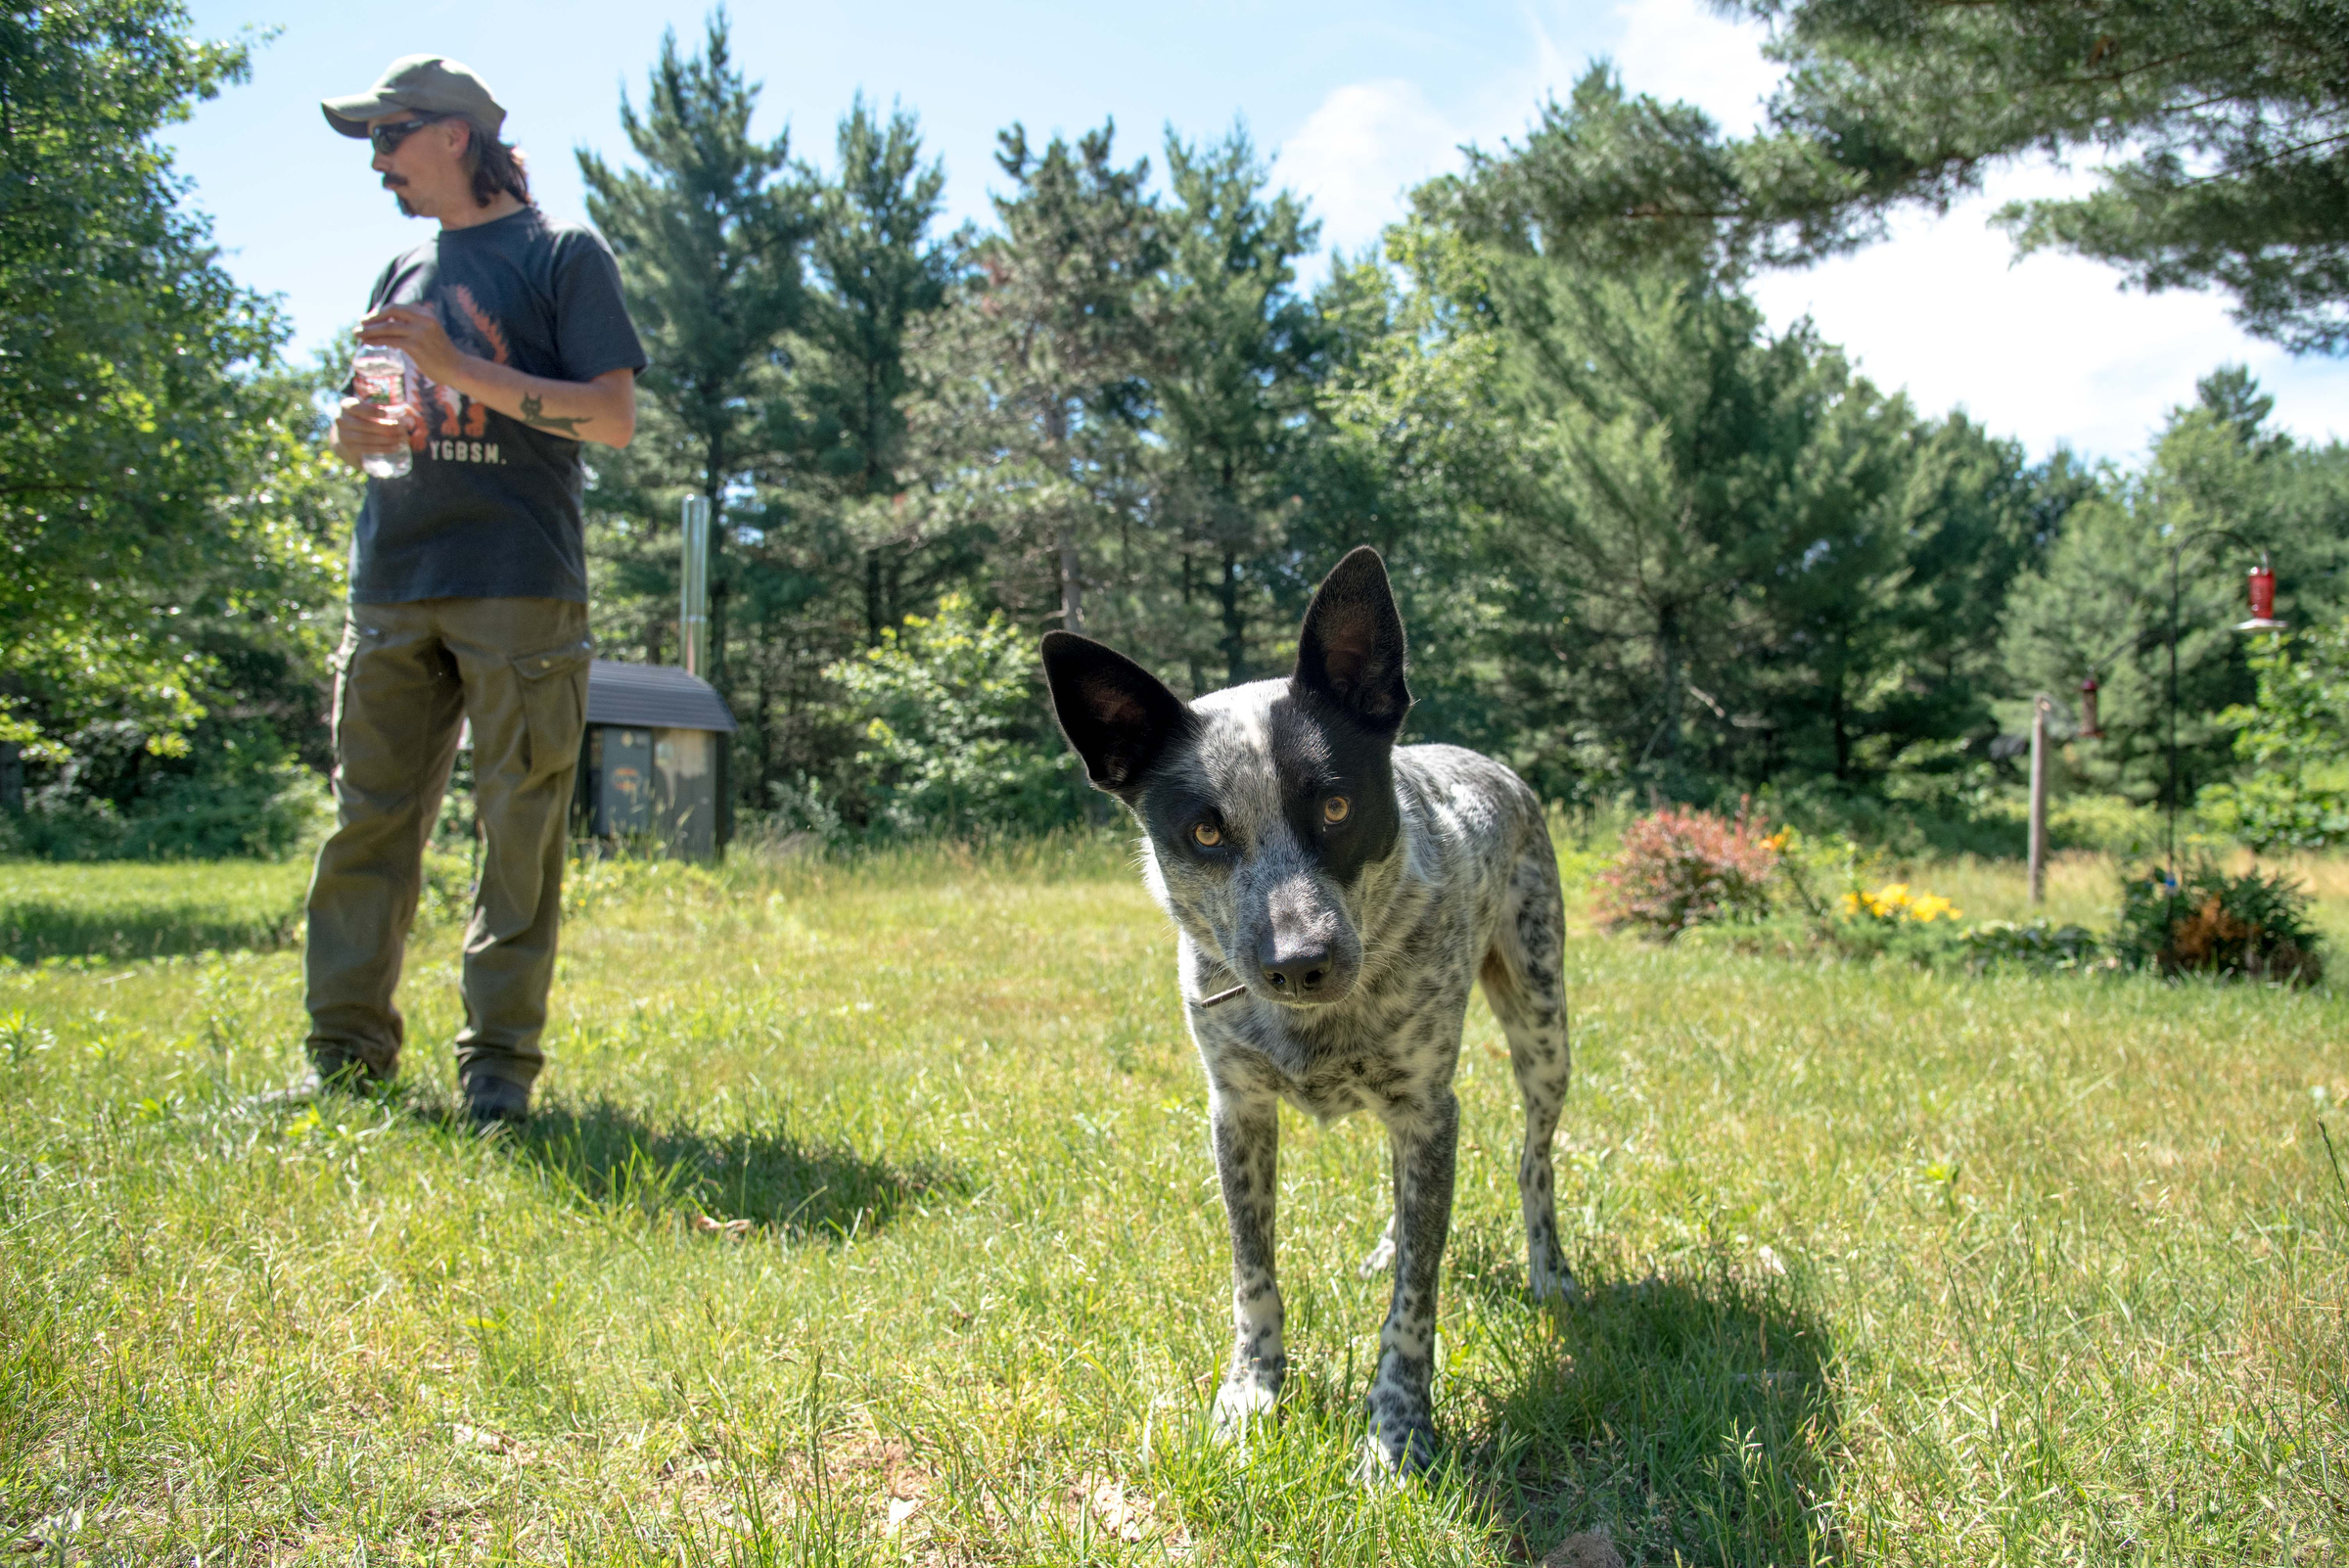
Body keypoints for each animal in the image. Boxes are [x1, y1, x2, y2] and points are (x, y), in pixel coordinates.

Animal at [1037, 544, 1569, 1474]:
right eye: (1206, 832)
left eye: (1335, 804)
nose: (1300, 963)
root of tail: (1489, 761)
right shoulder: (1238, 1110)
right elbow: (1254, 1275)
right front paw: (1252, 1394)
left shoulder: (1428, 1107)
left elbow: (1415, 1306)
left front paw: (1397, 1433)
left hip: (1544, 1029)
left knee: (1533, 1162)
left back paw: (1551, 1273)